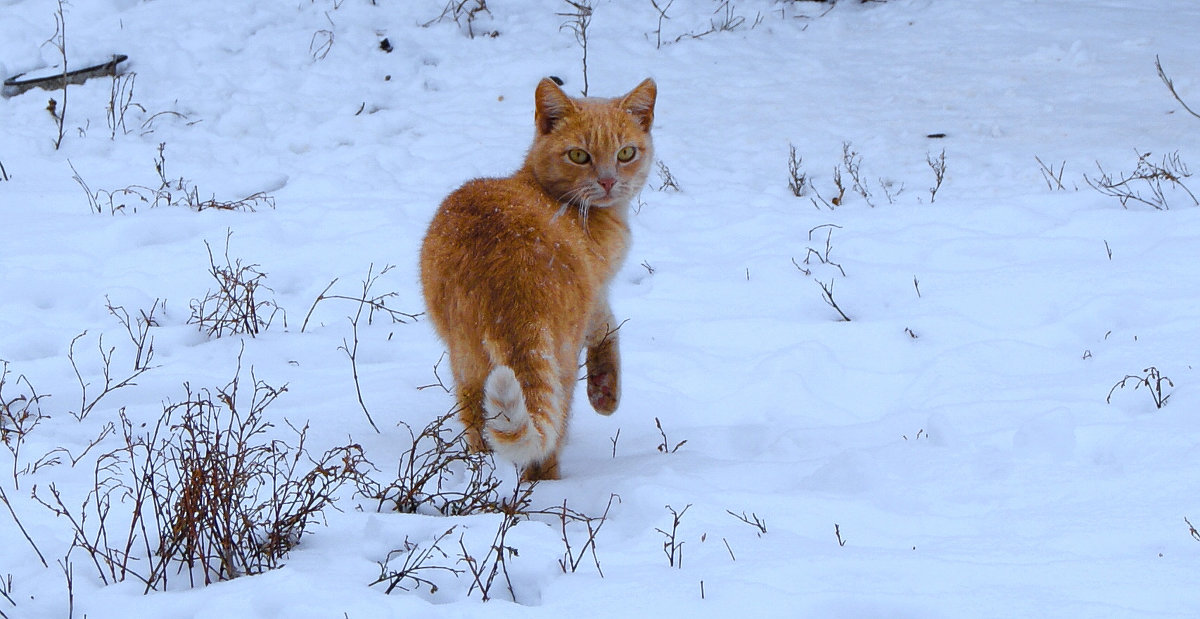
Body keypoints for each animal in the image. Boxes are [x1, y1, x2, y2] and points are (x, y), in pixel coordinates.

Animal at [420, 77, 657, 482]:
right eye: (579, 155)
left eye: (626, 153)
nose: (608, 181)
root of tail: (507, 277)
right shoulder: (597, 288)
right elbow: (607, 327)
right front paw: (604, 393)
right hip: (561, 361)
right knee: (549, 436)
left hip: (465, 360)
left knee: (477, 422)